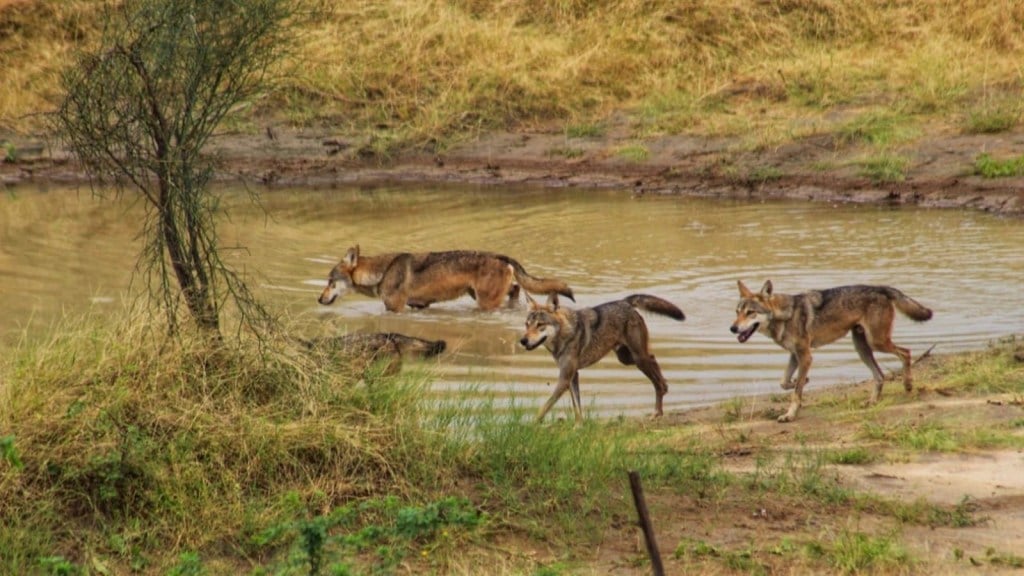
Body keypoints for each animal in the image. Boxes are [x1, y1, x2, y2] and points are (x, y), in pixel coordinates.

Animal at [318, 245, 575, 312]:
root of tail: (500, 255)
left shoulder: (396, 309)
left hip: (484, 302)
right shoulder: (419, 307)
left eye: (330, 282)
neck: (382, 272)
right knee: (515, 290)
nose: (319, 300)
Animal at [519, 293, 685, 423]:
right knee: (654, 359)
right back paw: (663, 392)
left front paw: (531, 427)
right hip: (627, 359)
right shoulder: (572, 376)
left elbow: (543, 408)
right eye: (527, 325)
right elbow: (577, 407)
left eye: (540, 324)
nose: (523, 340)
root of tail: (624, 301)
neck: (565, 333)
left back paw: (658, 409)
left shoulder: (565, 379)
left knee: (655, 374)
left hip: (638, 358)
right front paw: (578, 427)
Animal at [730, 280, 933, 423]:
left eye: (750, 313)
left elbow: (795, 393)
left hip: (877, 343)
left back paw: (908, 385)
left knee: (905, 352)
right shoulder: (795, 355)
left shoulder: (806, 356)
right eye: (737, 312)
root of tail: (880, 288)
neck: (785, 315)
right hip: (862, 347)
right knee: (880, 375)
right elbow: (784, 382)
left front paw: (790, 415)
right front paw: (802, 381)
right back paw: (872, 401)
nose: (732, 328)